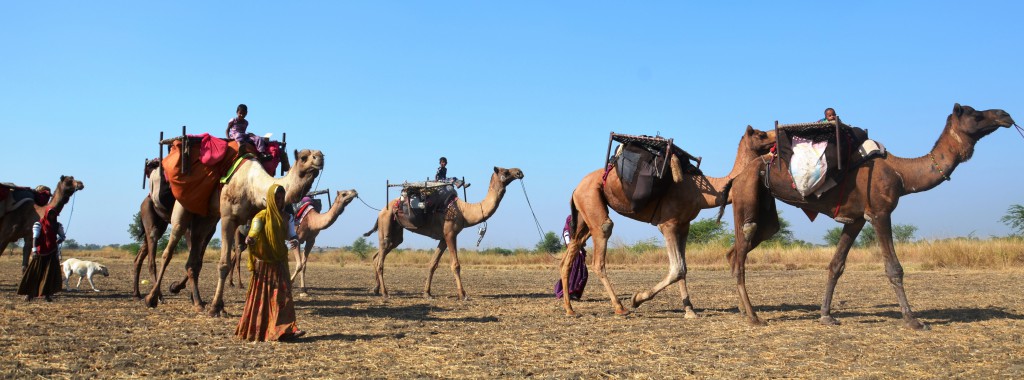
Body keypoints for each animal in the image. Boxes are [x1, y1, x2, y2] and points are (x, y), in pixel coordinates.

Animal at [366, 166, 528, 301]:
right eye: (505, 171)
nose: (519, 172)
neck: (464, 211)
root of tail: (381, 211)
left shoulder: (443, 238)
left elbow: (433, 264)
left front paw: (427, 293)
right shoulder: (451, 234)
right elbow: (455, 265)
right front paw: (463, 295)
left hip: (396, 232)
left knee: (379, 254)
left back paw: (375, 289)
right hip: (386, 223)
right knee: (381, 259)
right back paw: (385, 293)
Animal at [565, 126, 770, 317]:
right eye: (761, 134)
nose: (774, 147)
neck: (701, 192)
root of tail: (576, 188)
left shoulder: (684, 225)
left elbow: (684, 268)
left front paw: (690, 310)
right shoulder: (668, 224)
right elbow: (677, 268)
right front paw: (637, 299)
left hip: (585, 211)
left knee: (572, 249)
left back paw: (570, 309)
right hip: (590, 198)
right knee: (601, 246)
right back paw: (620, 307)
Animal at [720, 103, 1015, 329]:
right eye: (975, 114)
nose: (1005, 115)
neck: (902, 174)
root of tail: (736, 177)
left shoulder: (857, 219)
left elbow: (836, 265)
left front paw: (826, 316)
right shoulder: (880, 212)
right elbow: (894, 268)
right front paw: (913, 320)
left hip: (766, 213)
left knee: (739, 250)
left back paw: (744, 309)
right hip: (747, 197)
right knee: (741, 252)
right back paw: (753, 317)